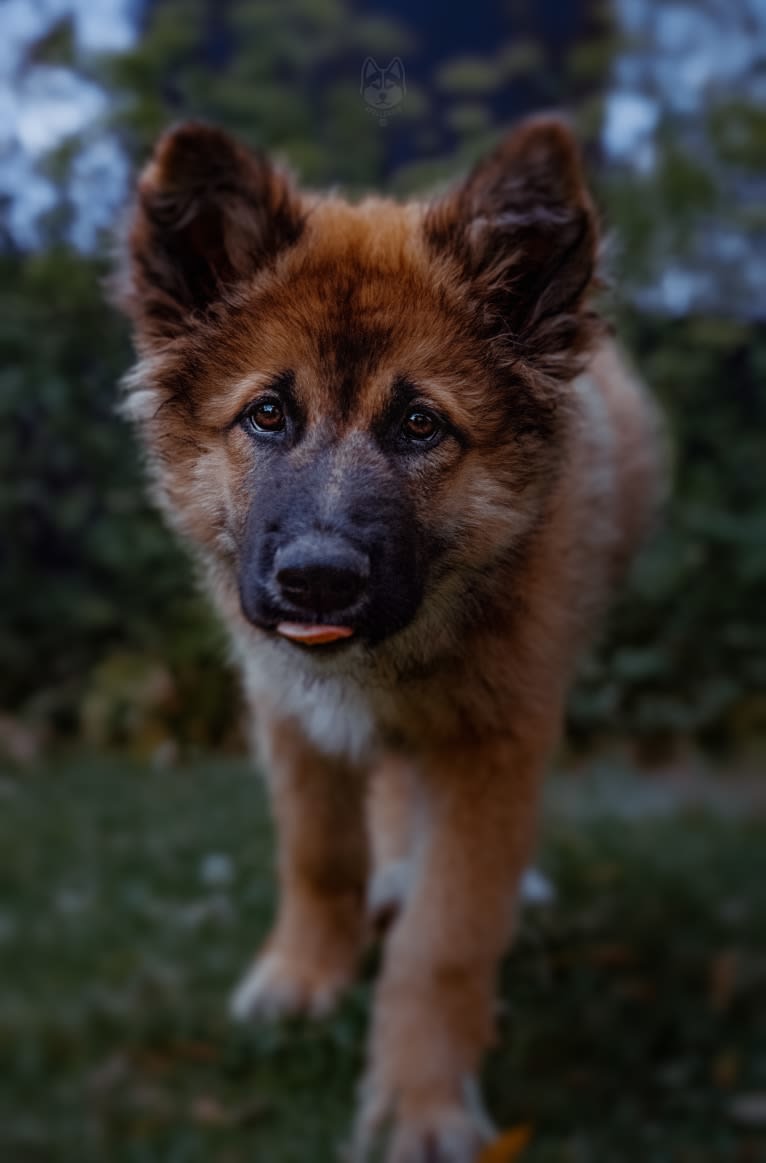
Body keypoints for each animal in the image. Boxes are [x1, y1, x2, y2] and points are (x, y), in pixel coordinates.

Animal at [113, 118, 664, 1163]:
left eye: (419, 424)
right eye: (268, 413)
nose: (318, 579)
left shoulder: (496, 734)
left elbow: (447, 935)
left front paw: (422, 1103)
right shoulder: (288, 707)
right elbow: (319, 854)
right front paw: (305, 977)